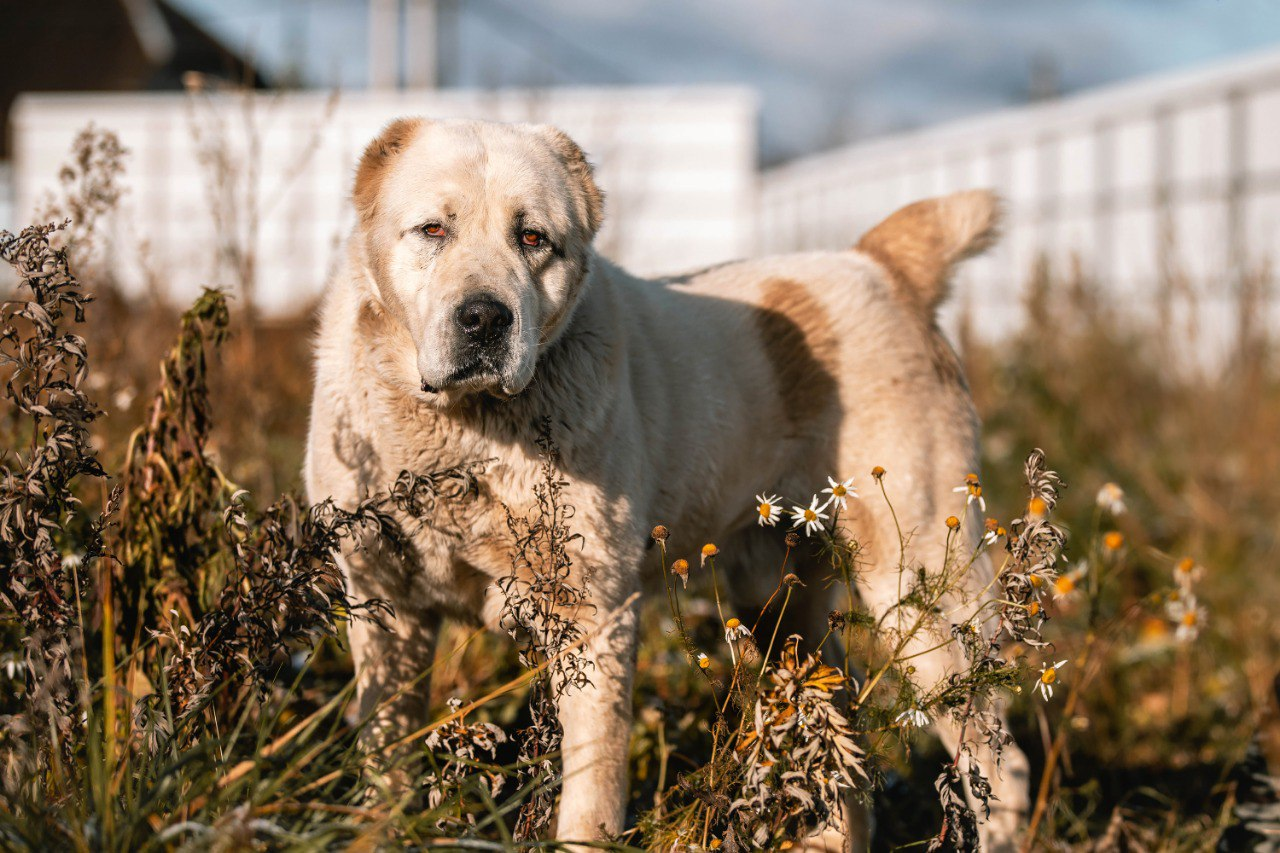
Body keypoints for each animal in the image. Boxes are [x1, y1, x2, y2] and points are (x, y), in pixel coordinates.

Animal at [302, 116, 1029, 845]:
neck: (467, 436)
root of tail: (881, 266)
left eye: (532, 238)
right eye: (433, 229)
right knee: (841, 743)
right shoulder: (386, 610)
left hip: (923, 587)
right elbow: (386, 761)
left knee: (999, 762)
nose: (484, 318)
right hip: (780, 605)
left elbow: (591, 788)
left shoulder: (593, 618)